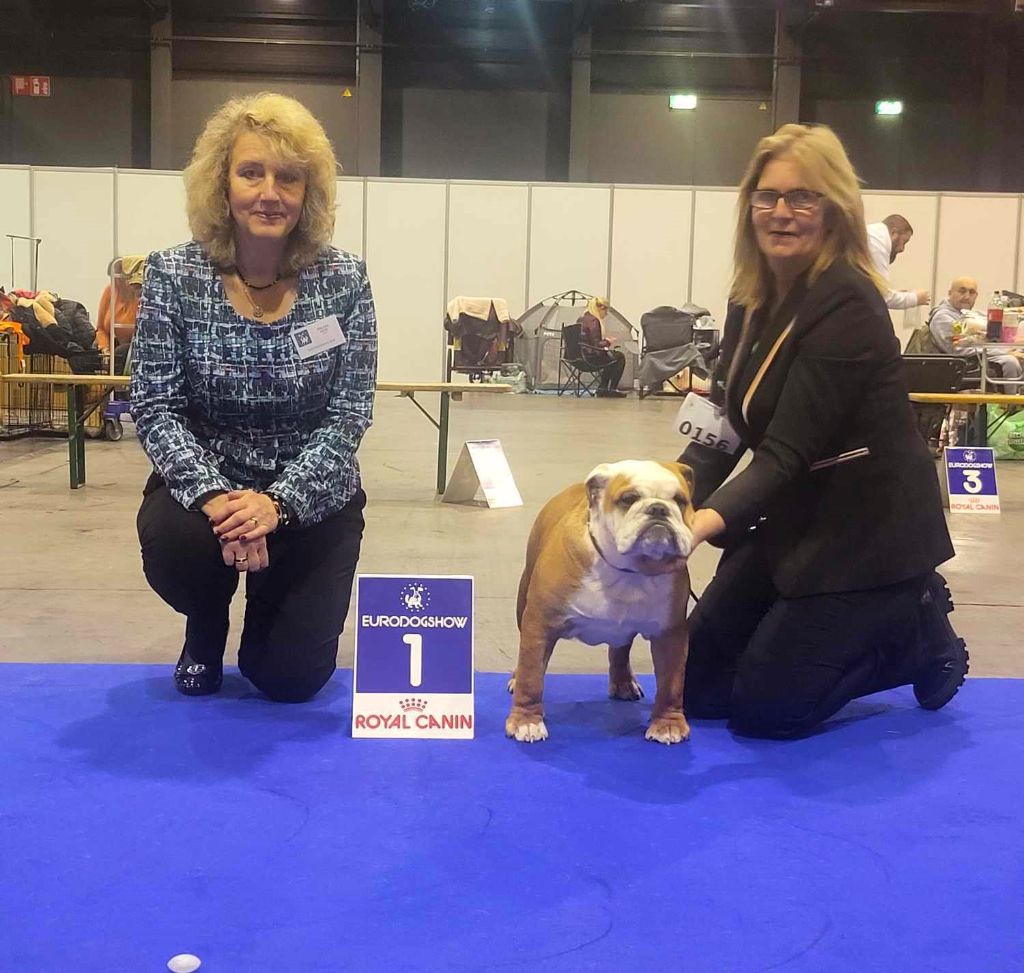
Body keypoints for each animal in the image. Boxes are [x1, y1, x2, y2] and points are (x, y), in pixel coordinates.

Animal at [506, 460, 695, 745]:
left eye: (681, 501)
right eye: (628, 499)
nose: (659, 509)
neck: (629, 569)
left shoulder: (670, 634)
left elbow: (672, 683)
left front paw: (667, 724)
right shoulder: (540, 624)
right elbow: (532, 676)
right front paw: (526, 722)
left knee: (620, 650)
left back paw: (624, 683)